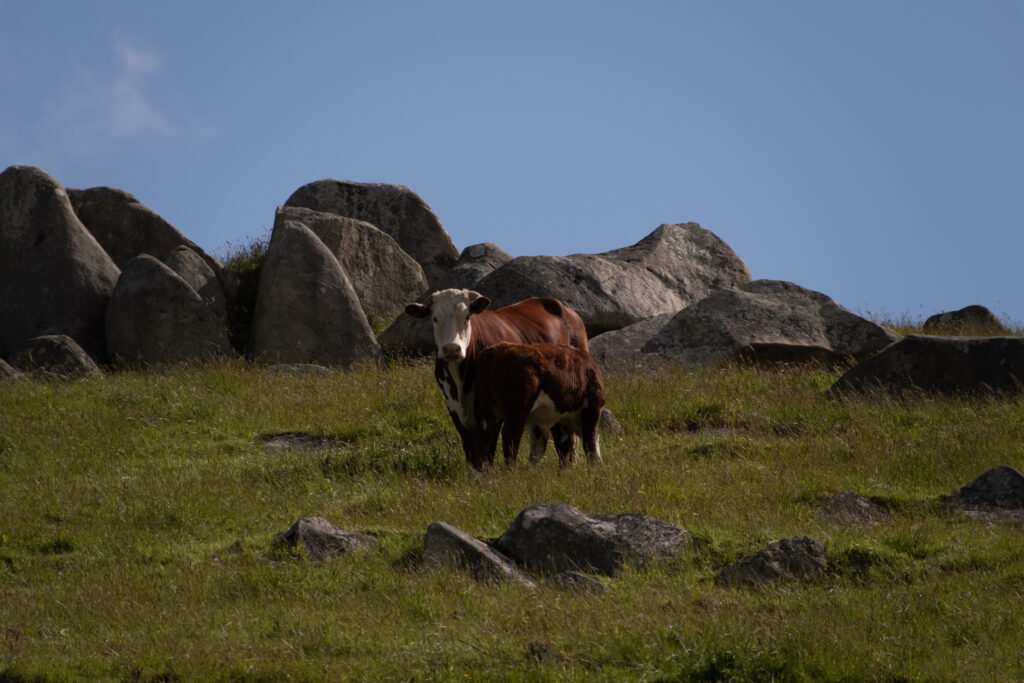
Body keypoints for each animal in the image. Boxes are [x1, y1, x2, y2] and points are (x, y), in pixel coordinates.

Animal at [404, 288, 589, 470]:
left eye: (467, 316)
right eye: (435, 318)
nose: (451, 348)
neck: (462, 383)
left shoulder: (492, 411)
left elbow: (489, 449)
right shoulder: (453, 407)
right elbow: (469, 448)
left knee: (565, 440)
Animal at [469, 342, 606, 468]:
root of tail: (494, 351)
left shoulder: (551, 420)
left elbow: (549, 447)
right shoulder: (591, 409)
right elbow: (590, 441)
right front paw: (595, 468)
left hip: (487, 407)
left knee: (483, 437)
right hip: (518, 408)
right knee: (510, 435)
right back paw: (510, 472)